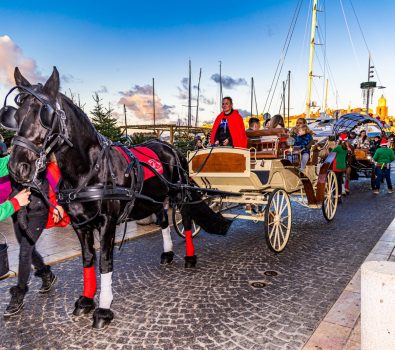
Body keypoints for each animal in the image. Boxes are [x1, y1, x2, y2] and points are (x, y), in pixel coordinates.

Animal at [4, 67, 230, 328]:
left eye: (46, 114)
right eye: (17, 115)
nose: (16, 167)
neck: (88, 171)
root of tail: (172, 147)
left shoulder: (107, 223)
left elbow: (105, 261)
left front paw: (103, 309)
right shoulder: (80, 224)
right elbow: (88, 259)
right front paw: (85, 300)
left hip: (180, 195)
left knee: (187, 220)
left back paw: (190, 258)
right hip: (156, 198)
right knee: (163, 220)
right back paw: (167, 253)